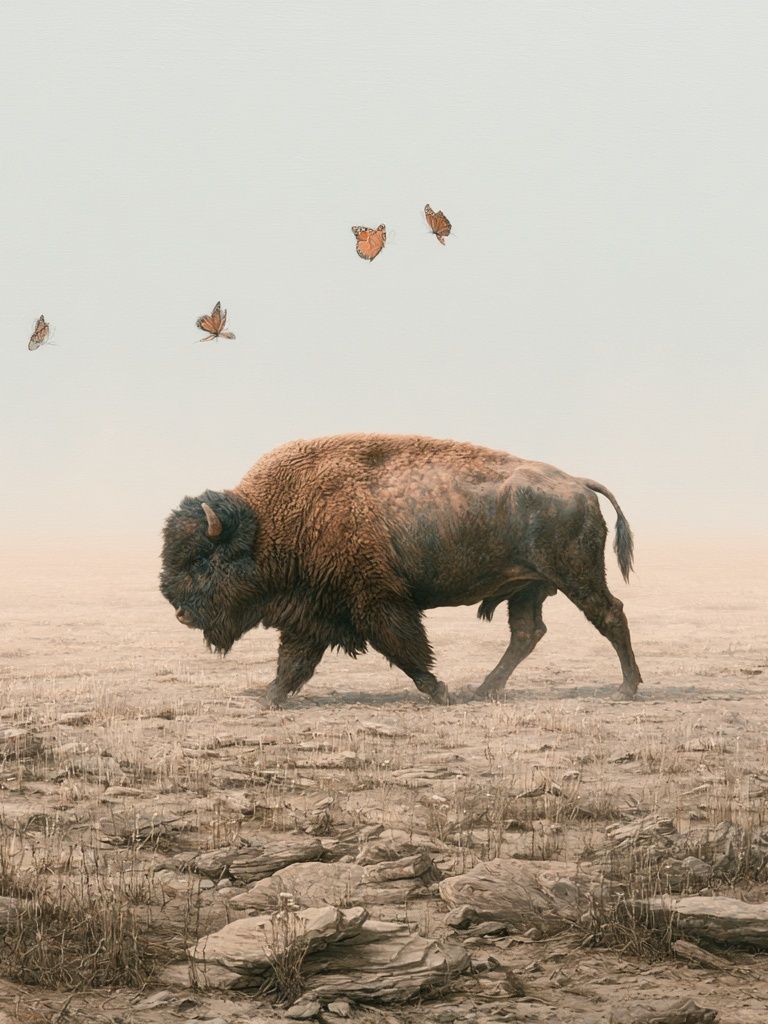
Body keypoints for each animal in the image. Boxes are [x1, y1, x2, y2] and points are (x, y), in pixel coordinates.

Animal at [160, 434, 643, 706]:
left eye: (203, 559)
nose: (181, 613)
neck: (269, 522)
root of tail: (577, 483)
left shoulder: (376, 600)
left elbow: (405, 648)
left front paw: (440, 691)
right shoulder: (313, 613)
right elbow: (294, 660)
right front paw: (269, 698)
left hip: (576, 575)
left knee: (610, 614)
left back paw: (627, 689)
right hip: (528, 585)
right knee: (527, 633)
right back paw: (485, 690)